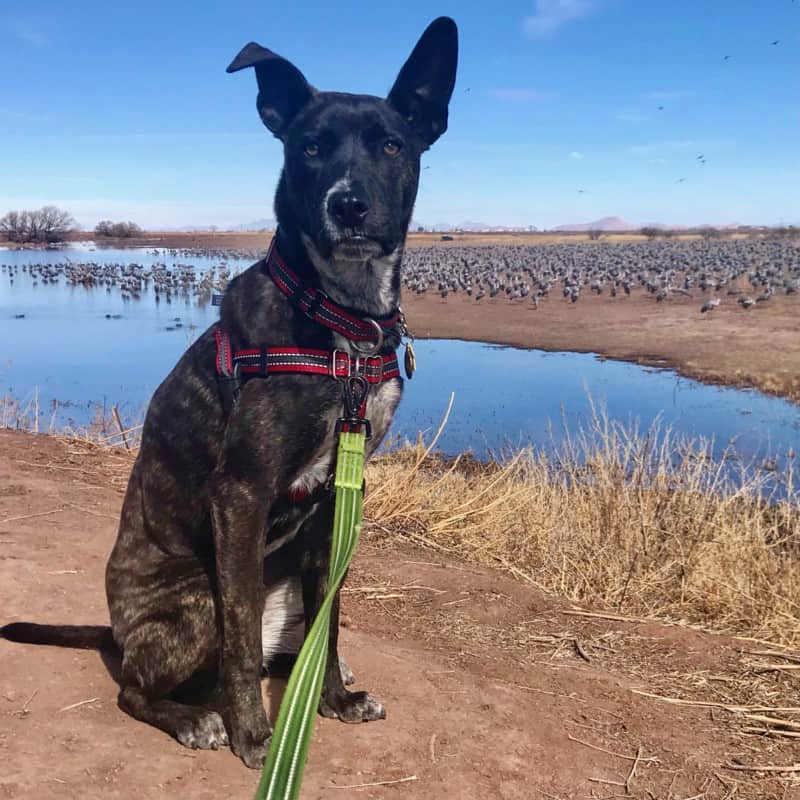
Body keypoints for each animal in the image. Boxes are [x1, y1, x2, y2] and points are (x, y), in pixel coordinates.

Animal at [0, 17, 456, 768]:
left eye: (392, 144)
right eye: (310, 146)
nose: (349, 204)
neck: (341, 321)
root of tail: (118, 630)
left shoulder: (340, 500)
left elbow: (332, 618)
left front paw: (331, 699)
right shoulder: (241, 493)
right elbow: (241, 637)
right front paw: (253, 732)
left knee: (283, 645)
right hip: (193, 602)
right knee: (140, 686)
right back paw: (193, 717)